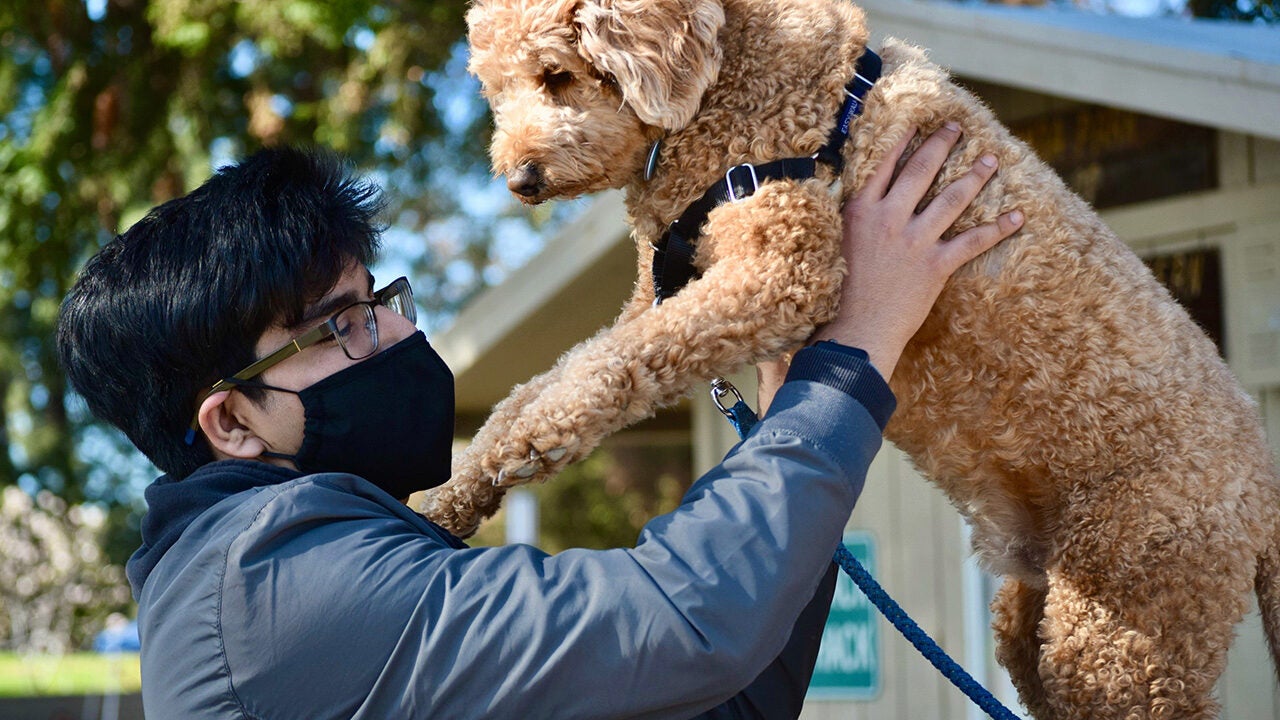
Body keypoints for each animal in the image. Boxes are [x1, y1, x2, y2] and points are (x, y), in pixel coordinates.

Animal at [424, 0, 1280, 707]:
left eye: (557, 74)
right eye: (496, 90)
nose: (519, 178)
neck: (734, 79)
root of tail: (1266, 491)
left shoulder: (780, 271)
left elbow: (599, 375)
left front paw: (532, 449)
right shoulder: (664, 292)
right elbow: (546, 382)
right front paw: (454, 493)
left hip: (1126, 609)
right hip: (1039, 612)